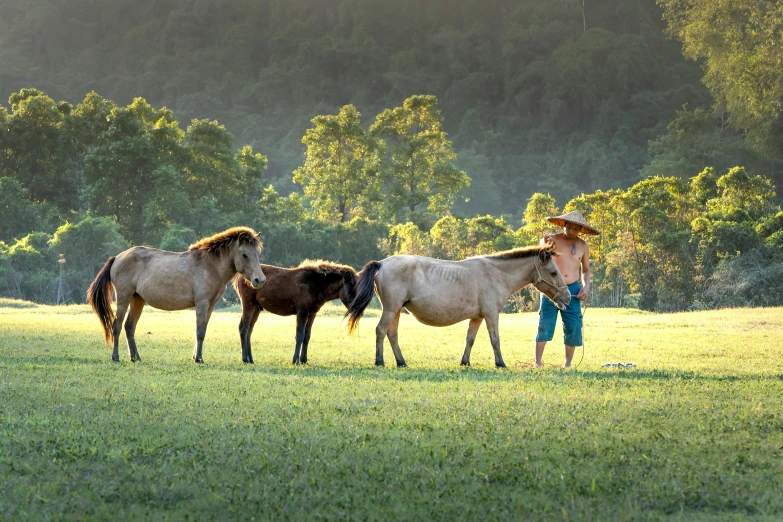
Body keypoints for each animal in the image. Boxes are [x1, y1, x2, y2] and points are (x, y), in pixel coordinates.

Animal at [87, 225, 266, 364]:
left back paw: (135, 357)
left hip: (137, 300)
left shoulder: (210, 306)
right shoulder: (202, 303)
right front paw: (199, 358)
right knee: (116, 326)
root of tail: (117, 257)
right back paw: (115, 357)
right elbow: (200, 332)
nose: (260, 280)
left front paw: (195, 356)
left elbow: (202, 330)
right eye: (244, 254)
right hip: (123, 299)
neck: (210, 266)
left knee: (129, 327)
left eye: (258, 254)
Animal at [348, 243, 568, 366]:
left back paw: (401, 362)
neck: (495, 274)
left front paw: (465, 362)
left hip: (396, 311)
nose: (567, 297)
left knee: (392, 334)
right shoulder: (491, 315)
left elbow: (469, 340)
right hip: (391, 309)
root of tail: (382, 263)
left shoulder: (477, 317)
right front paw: (500, 363)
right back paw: (380, 361)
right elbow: (495, 340)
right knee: (380, 331)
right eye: (553, 272)